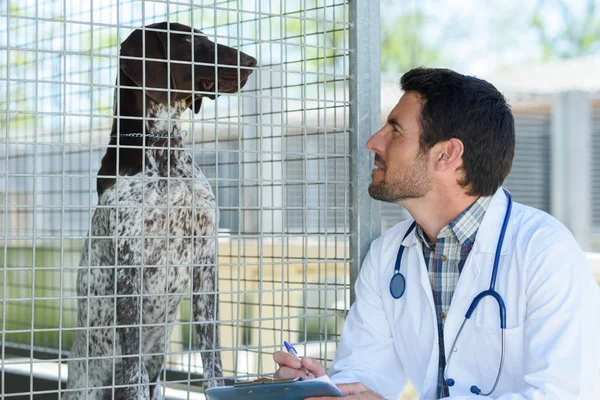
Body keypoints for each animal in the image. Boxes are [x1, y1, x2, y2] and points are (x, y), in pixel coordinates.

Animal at [66, 22, 258, 400]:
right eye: (187, 40)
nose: (252, 61)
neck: (163, 152)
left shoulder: (205, 266)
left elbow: (212, 357)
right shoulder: (129, 271)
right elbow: (134, 368)